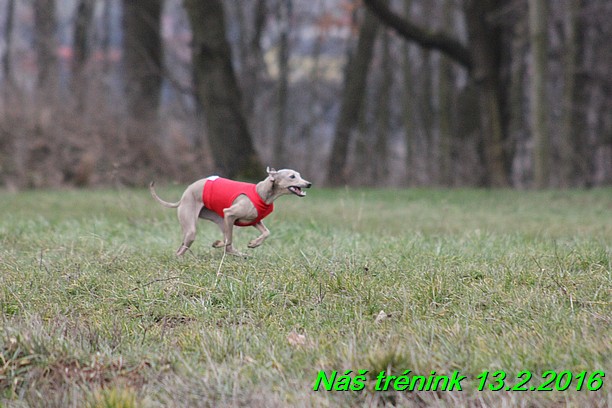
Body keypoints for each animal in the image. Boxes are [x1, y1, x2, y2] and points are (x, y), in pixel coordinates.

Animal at [149, 166, 310, 255]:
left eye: (299, 175)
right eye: (292, 176)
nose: (309, 184)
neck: (261, 192)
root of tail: (184, 195)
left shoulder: (254, 220)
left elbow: (267, 232)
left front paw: (254, 243)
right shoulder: (229, 213)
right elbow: (228, 240)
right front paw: (217, 243)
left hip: (220, 221)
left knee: (228, 248)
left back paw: (242, 255)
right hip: (194, 226)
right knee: (182, 249)